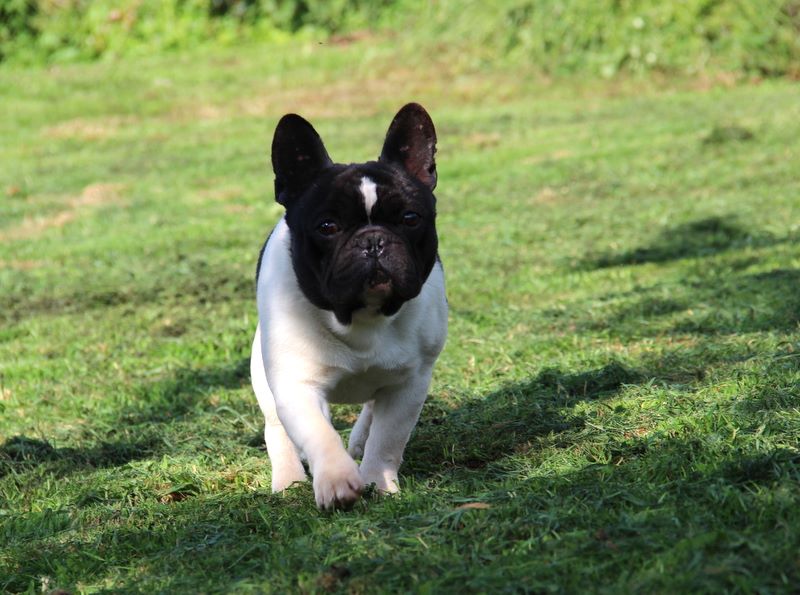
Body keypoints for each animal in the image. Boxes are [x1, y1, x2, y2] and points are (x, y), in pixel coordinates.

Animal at [249, 103, 448, 509]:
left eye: (410, 219)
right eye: (327, 226)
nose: (373, 241)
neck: (361, 316)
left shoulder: (409, 383)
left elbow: (389, 439)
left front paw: (378, 483)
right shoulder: (296, 385)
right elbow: (318, 433)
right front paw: (336, 480)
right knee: (278, 429)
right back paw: (289, 479)